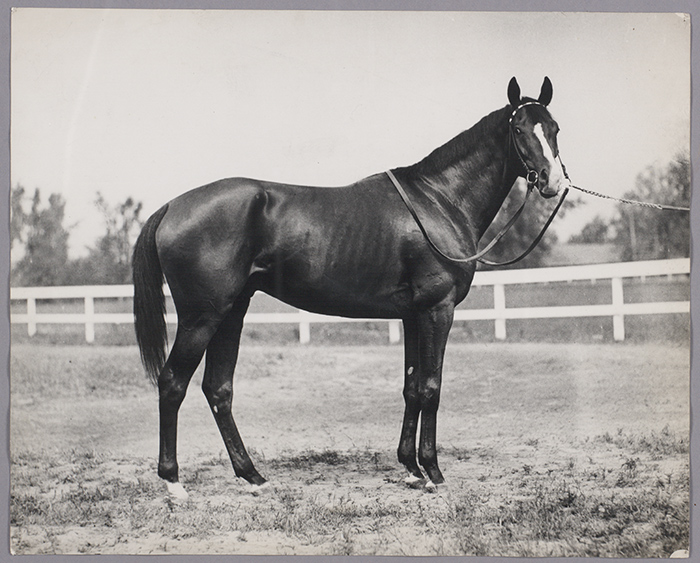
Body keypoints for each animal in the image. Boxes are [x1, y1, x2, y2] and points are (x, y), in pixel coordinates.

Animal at [132, 77, 568, 498]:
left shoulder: (412, 316)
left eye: (554, 128)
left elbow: (412, 387)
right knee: (173, 384)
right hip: (202, 317)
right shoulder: (437, 310)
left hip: (232, 313)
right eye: (518, 128)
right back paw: (174, 483)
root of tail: (171, 207)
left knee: (218, 389)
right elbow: (431, 386)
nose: (553, 183)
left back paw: (253, 476)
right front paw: (433, 472)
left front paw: (411, 469)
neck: (439, 200)